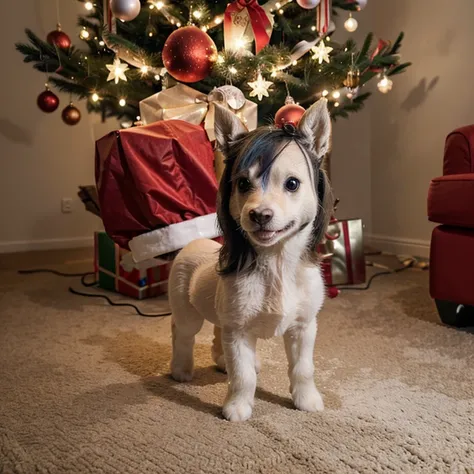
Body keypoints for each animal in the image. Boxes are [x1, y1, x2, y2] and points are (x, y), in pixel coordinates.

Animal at [168, 98, 332, 420]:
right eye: (243, 184)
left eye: (292, 184)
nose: (259, 215)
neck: (277, 264)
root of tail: (193, 242)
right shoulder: (239, 331)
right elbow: (243, 376)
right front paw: (237, 406)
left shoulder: (303, 328)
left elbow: (303, 369)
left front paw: (306, 400)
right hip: (187, 312)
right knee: (182, 334)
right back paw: (180, 369)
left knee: (217, 332)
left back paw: (221, 361)